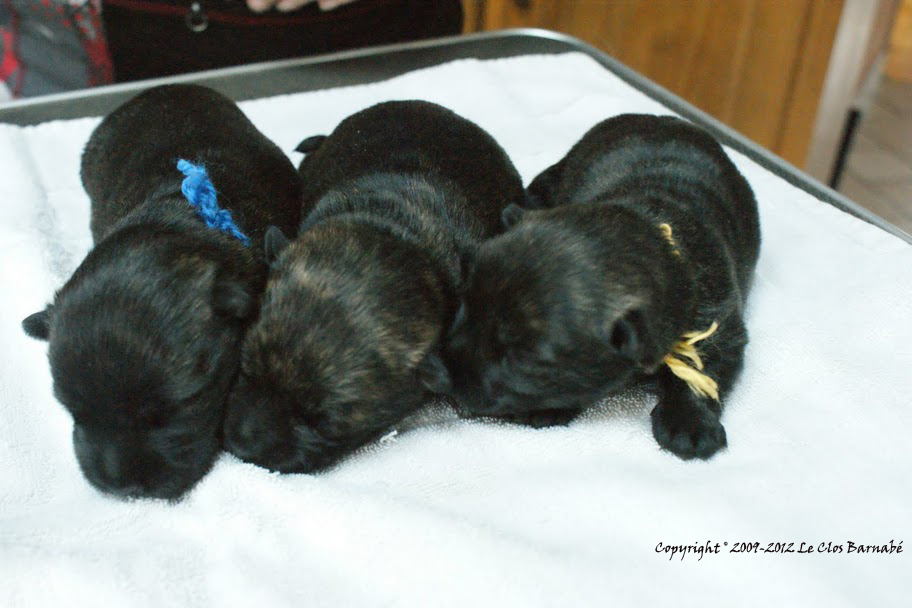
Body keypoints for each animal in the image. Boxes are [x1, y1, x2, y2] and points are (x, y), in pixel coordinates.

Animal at [442, 114, 761, 460]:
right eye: (464, 307)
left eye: (523, 360)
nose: (440, 372)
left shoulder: (720, 324)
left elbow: (700, 372)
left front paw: (690, 423)